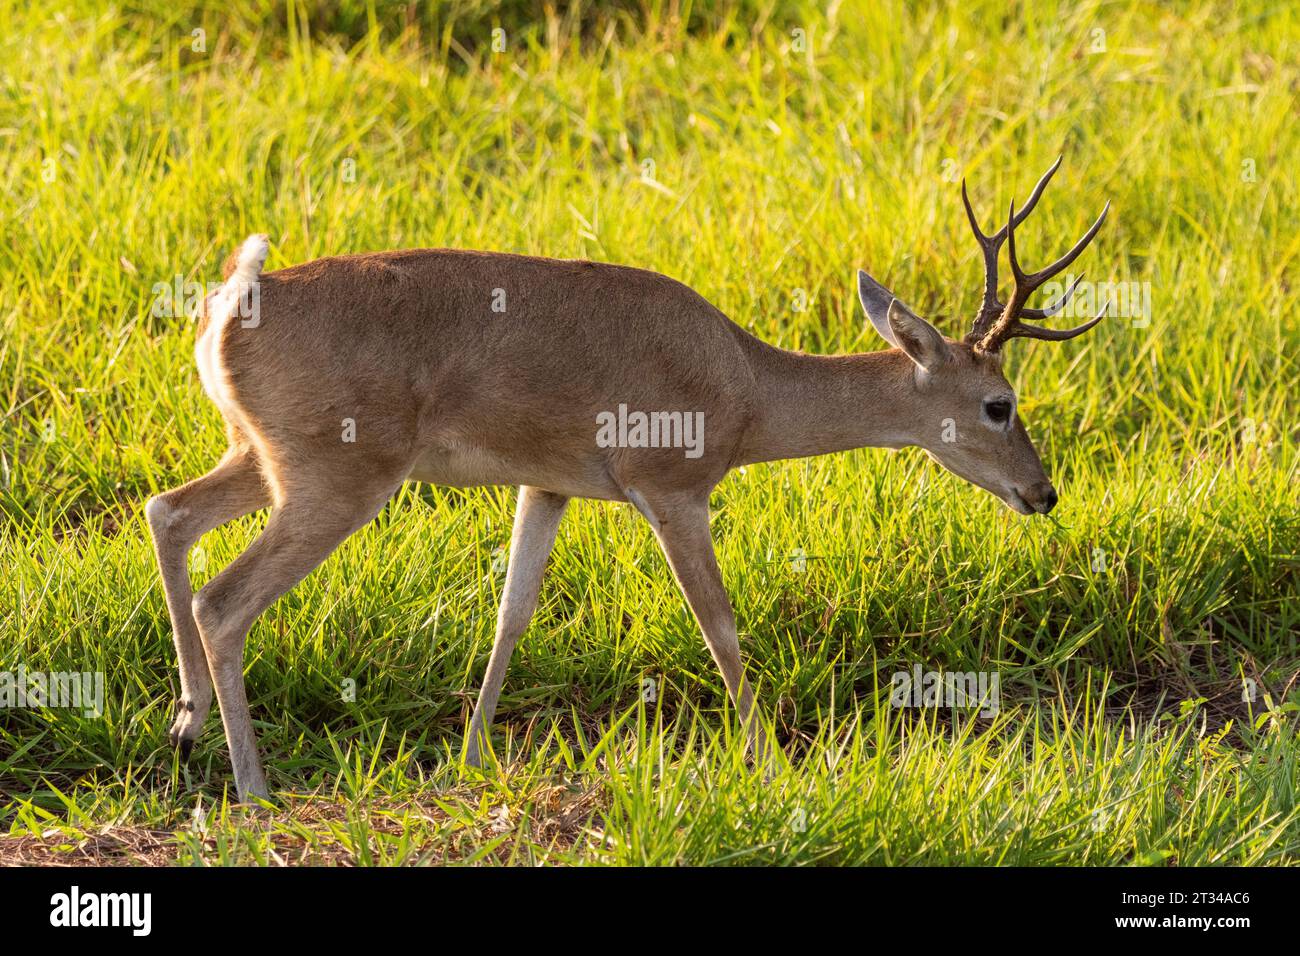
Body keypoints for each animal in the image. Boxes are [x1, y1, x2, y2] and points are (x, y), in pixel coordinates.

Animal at [149, 157, 1107, 801]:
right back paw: (255, 790)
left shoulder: (548, 488)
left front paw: (473, 756)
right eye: (998, 403)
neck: (745, 379)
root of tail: (234, 300)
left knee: (169, 512)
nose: (1043, 493)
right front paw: (775, 766)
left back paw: (187, 723)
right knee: (224, 599)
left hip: (261, 461)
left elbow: (512, 612)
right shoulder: (675, 494)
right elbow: (719, 624)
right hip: (336, 482)